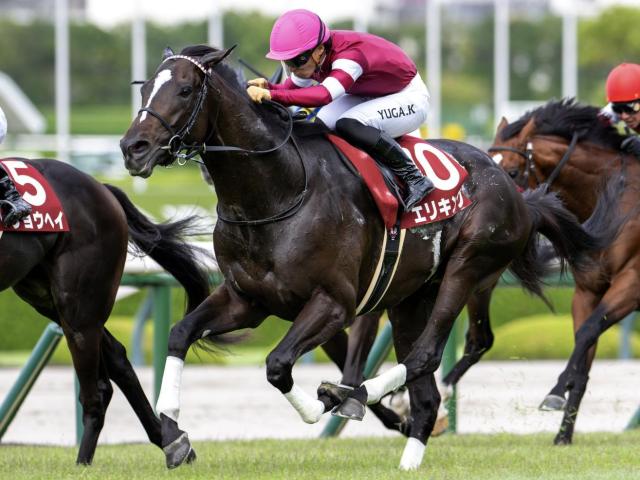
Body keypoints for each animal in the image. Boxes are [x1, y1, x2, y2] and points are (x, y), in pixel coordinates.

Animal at [0, 157, 211, 464]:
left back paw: (83, 463)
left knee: (96, 392)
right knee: (117, 359)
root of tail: (101, 187)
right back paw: (172, 442)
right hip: (48, 298)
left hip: (79, 304)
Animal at [119, 45, 616, 471]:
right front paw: (174, 434)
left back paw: (354, 394)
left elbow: (278, 365)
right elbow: (180, 333)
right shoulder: (248, 300)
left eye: (185, 90)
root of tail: (518, 193)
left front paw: (320, 403)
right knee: (426, 395)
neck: (278, 191)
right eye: (143, 91)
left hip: (468, 266)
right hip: (411, 297)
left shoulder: (333, 303)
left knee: (426, 356)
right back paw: (404, 454)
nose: (132, 148)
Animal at [488, 98, 639, 445]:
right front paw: (563, 434)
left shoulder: (632, 284)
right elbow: (584, 350)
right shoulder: (587, 290)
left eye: (512, 171)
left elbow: (587, 332)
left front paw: (556, 391)